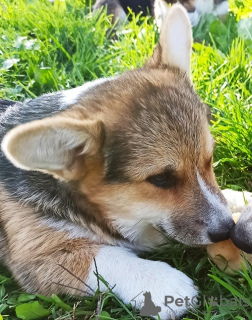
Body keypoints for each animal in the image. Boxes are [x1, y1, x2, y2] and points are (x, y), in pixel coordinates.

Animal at [0, 2, 250, 320]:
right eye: (160, 179)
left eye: (209, 159)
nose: (226, 230)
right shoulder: (37, 256)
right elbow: (103, 256)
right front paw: (162, 283)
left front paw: (240, 199)